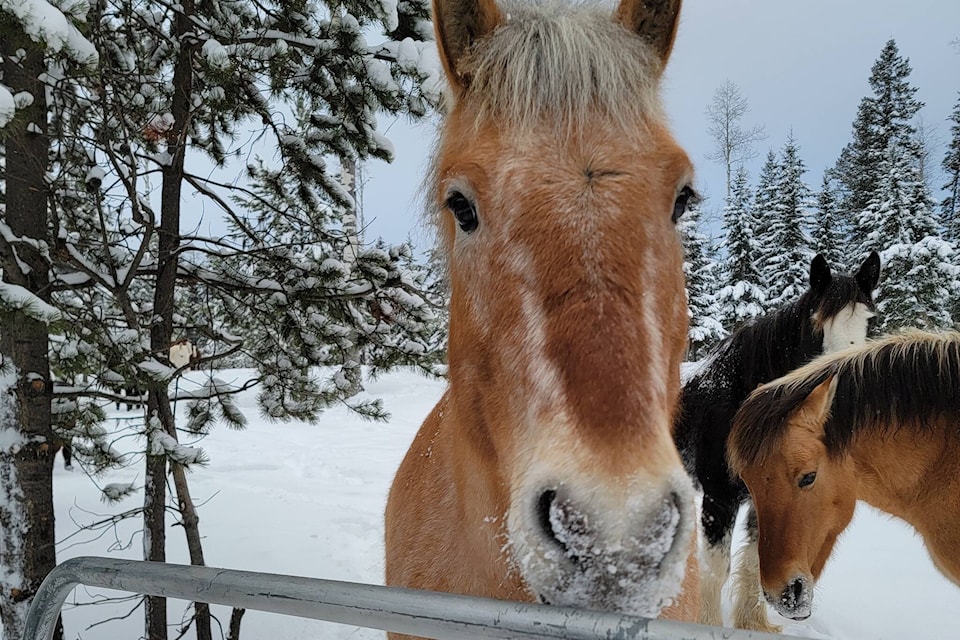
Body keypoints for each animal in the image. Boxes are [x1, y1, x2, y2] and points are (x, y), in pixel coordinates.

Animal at [676, 251, 876, 632]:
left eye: (869, 322)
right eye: (817, 325)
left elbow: (755, 562)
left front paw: (752, 624)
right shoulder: (719, 498)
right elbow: (716, 571)